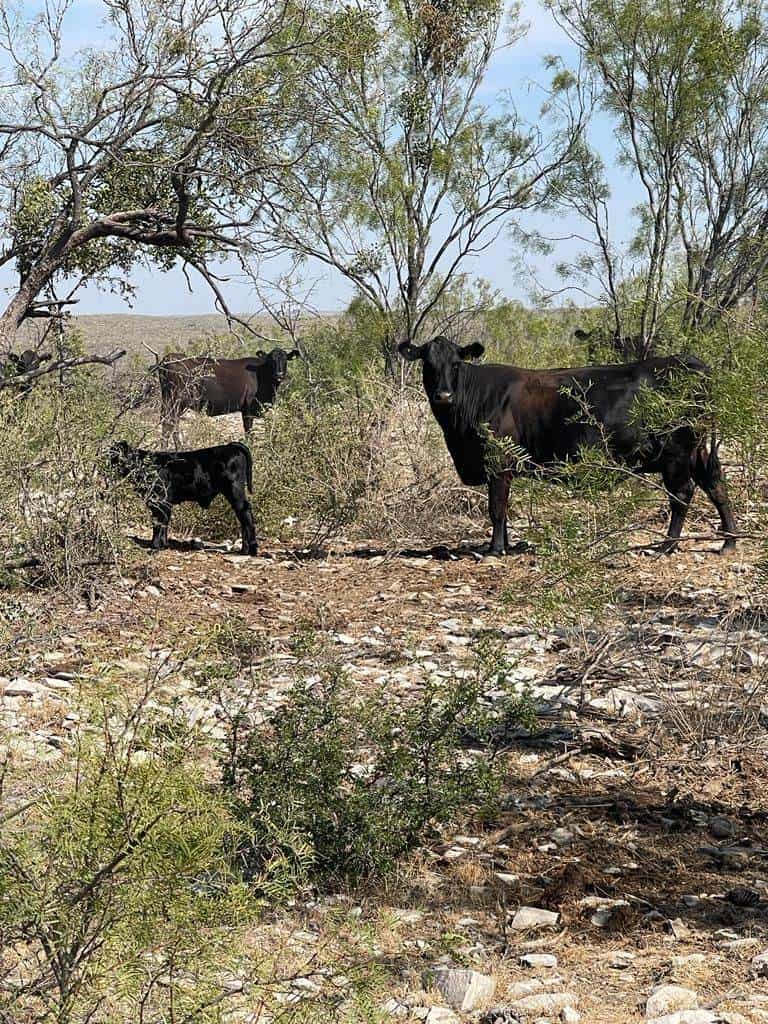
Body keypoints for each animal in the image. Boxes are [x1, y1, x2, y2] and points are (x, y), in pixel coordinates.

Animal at [109, 438, 259, 557]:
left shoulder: (160, 501)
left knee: (245, 514)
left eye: (114, 454)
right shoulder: (164, 503)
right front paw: (163, 544)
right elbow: (164, 523)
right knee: (242, 517)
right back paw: (244, 549)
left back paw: (251, 550)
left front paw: (154, 546)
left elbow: (158, 524)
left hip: (234, 490)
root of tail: (230, 446)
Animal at [156, 348, 301, 444]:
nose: (279, 374)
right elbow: (248, 431)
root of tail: (169, 358)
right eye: (271, 360)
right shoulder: (248, 408)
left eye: (285, 360)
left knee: (170, 424)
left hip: (170, 402)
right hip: (176, 401)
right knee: (169, 424)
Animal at [399, 337, 737, 557]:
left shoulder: (499, 461)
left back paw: (666, 546)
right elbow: (504, 510)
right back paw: (729, 541)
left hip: (676, 453)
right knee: (715, 484)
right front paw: (505, 545)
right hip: (697, 451)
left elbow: (496, 509)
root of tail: (688, 362)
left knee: (682, 495)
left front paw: (495, 550)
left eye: (456, 364)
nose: (443, 395)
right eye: (428, 363)